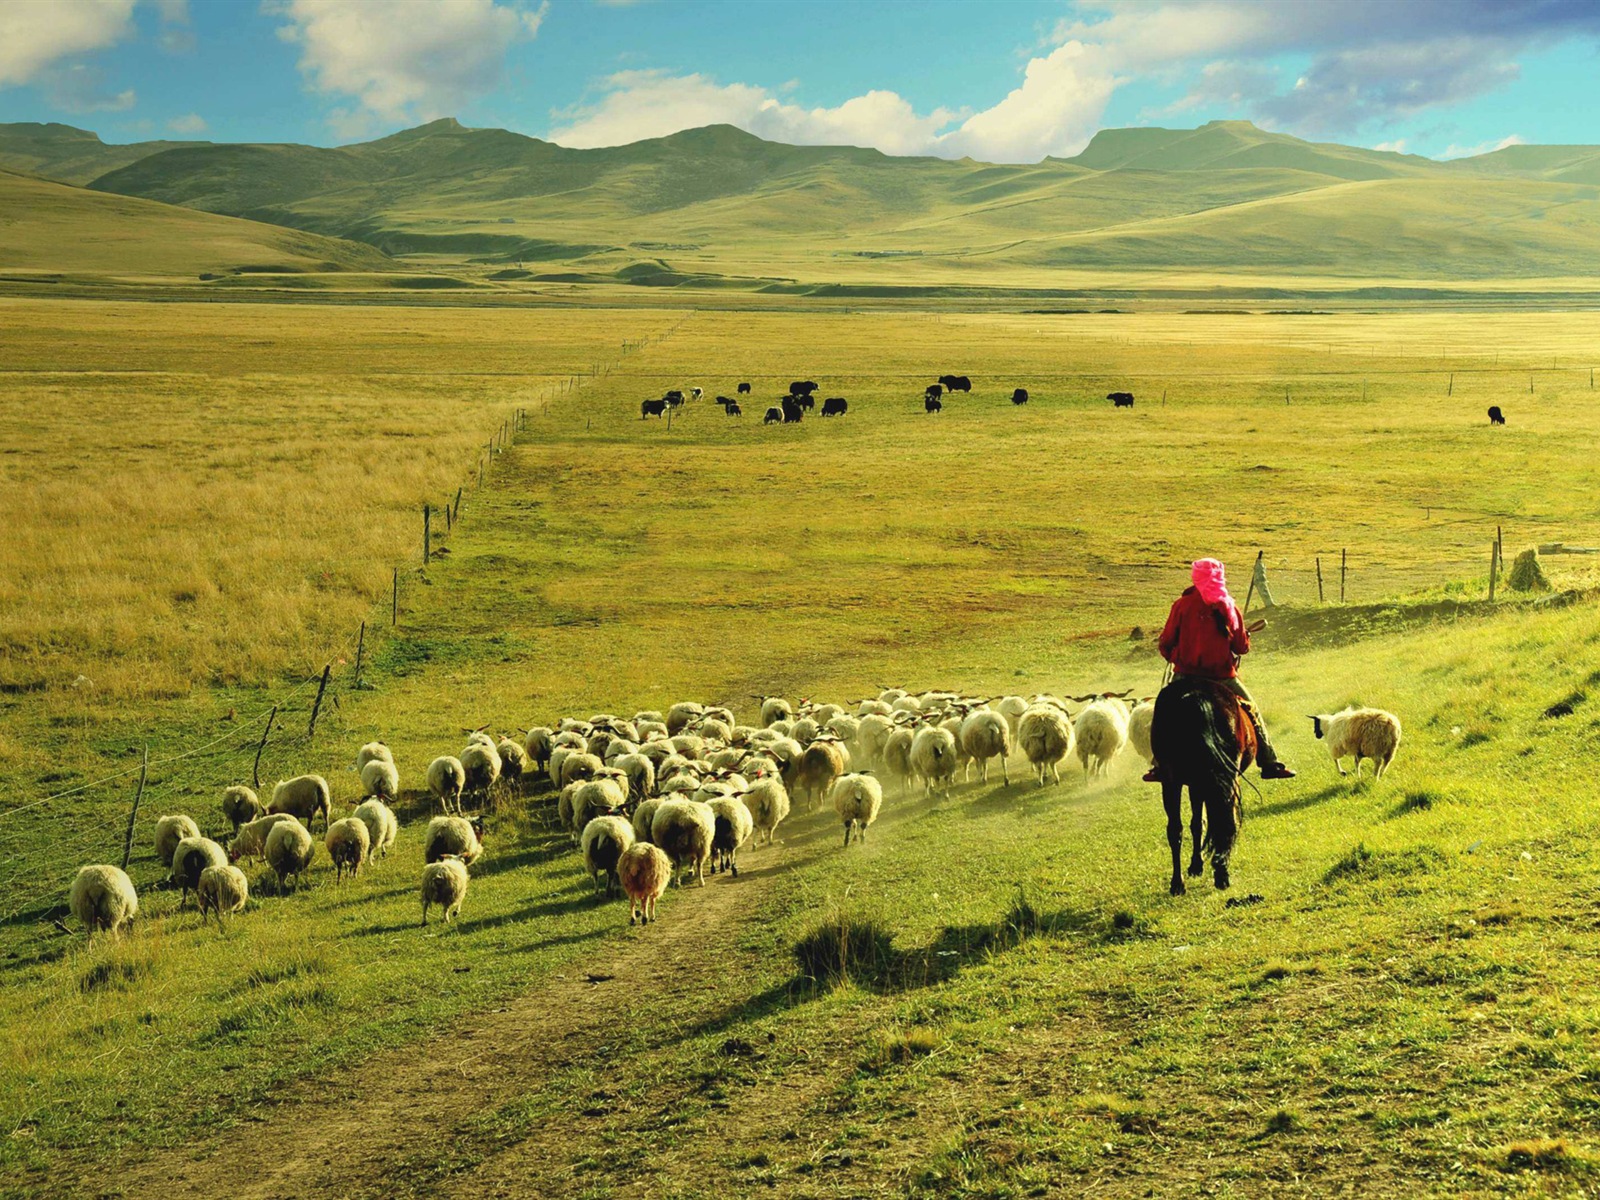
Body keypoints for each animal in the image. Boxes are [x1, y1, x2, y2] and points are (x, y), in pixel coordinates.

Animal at [1158, 678, 1254, 896]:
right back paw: (1221, 875)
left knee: (1175, 829)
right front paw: (1200, 864)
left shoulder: (1195, 784)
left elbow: (1196, 823)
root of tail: (1196, 696)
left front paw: (1196, 865)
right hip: (1225, 777)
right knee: (1227, 821)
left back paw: (1178, 883)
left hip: (1172, 781)